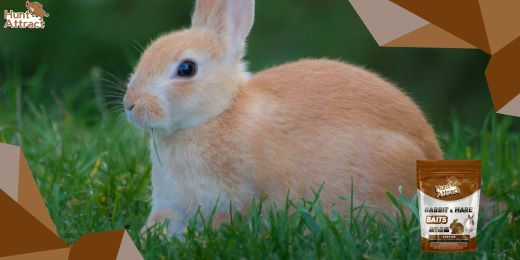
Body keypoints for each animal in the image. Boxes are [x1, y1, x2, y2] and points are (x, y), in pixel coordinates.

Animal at [123, 0, 442, 237]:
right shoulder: (171, 203)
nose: (130, 105)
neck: (215, 114)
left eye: (186, 68)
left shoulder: (235, 199)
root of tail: (431, 154)